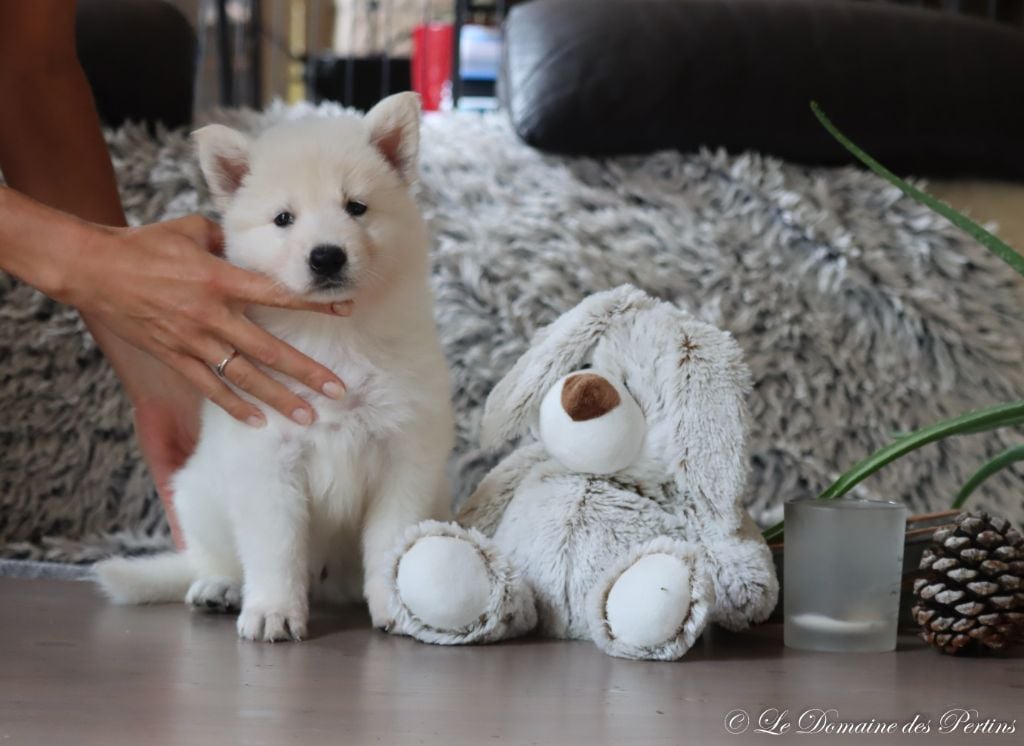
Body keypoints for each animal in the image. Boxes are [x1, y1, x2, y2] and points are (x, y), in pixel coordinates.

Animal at [94, 93, 454, 638]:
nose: (326, 257)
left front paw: (394, 605)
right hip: (195, 495)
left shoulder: (406, 452)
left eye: (356, 207)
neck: (332, 335)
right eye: (284, 218)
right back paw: (218, 588)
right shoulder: (266, 458)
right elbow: (275, 548)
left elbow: (390, 539)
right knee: (212, 557)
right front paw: (272, 612)